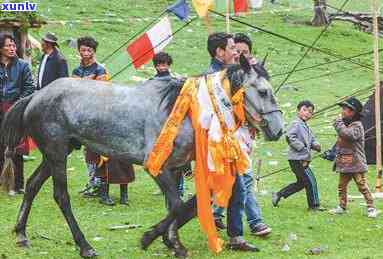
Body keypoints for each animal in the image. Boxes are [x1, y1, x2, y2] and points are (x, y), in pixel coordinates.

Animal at [1, 58, 284, 258]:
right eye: (262, 91)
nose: (277, 129)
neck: (184, 113)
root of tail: (35, 96)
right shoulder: (156, 167)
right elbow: (179, 206)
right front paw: (154, 238)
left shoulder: (177, 167)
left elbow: (185, 205)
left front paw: (171, 241)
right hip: (57, 153)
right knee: (61, 196)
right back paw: (85, 246)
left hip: (56, 154)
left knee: (33, 184)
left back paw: (21, 233)